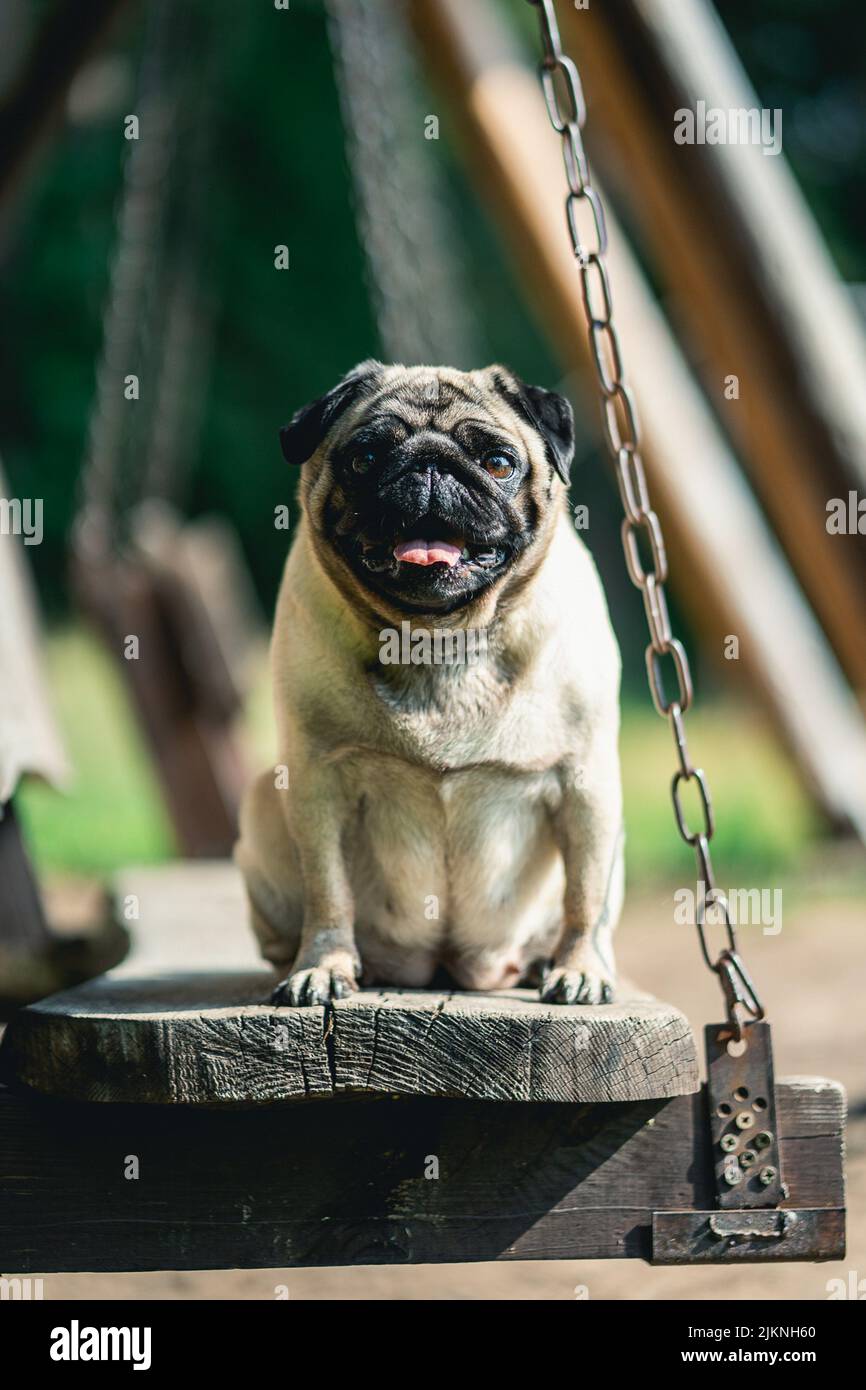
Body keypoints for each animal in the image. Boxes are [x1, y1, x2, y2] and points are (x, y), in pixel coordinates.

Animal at [237, 364, 622, 1006]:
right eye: (365, 457)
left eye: (498, 462)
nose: (430, 464)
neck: (438, 641)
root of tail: (444, 964)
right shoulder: (316, 781)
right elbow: (327, 889)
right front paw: (323, 966)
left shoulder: (585, 783)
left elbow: (584, 896)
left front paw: (581, 968)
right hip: (266, 799)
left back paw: (544, 963)